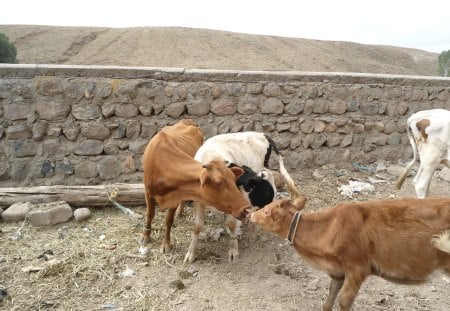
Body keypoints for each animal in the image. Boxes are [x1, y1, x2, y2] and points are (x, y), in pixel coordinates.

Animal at [142, 119, 251, 254]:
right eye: (219, 182)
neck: (162, 164)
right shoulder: (148, 191)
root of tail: (186, 121)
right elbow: (150, 214)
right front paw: (146, 236)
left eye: (233, 179)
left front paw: (166, 243)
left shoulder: (176, 195)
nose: (246, 209)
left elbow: (168, 220)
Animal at [183, 130, 298, 264]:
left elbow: (231, 225)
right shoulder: (198, 201)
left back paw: (252, 233)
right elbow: (197, 227)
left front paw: (233, 251)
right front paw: (191, 253)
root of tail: (262, 134)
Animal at [250, 199, 450, 310]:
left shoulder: (357, 269)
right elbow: (329, 298)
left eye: (266, 211)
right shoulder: (338, 271)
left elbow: (344, 301)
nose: (251, 214)